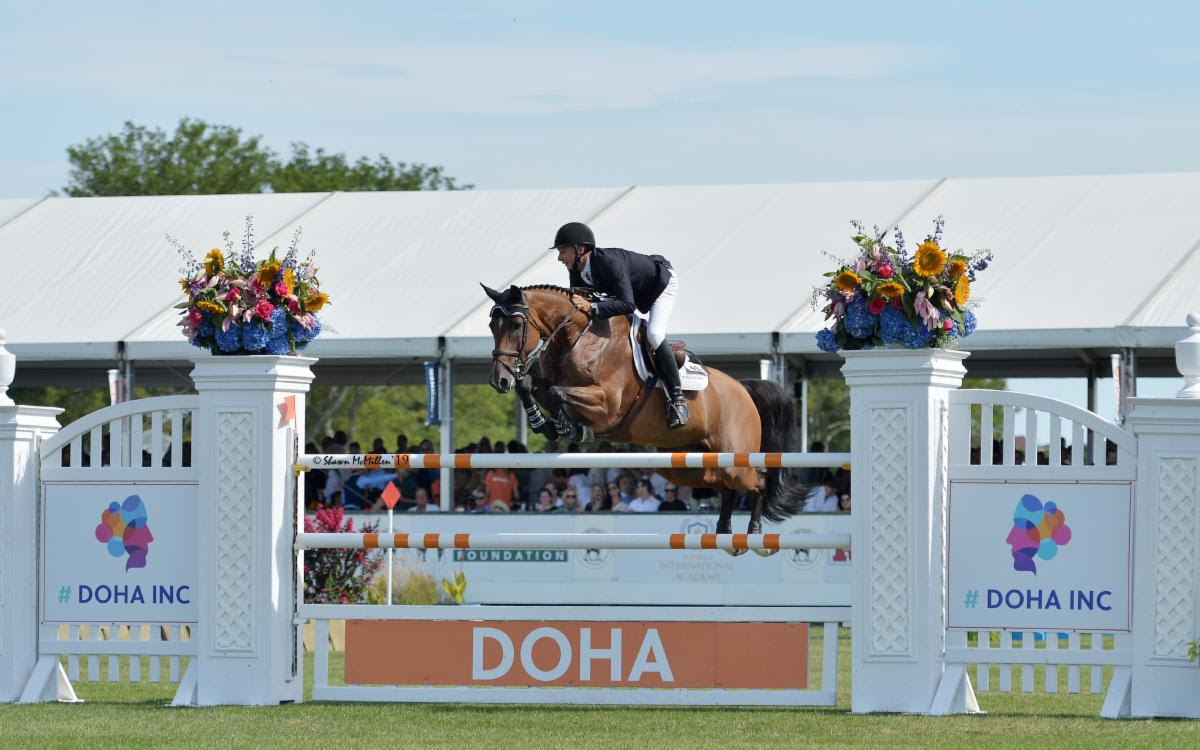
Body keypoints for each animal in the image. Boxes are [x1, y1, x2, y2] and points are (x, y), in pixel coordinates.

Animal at [477, 283, 806, 552]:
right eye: (492, 324)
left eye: (515, 324)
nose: (498, 380)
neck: (578, 339)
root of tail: (744, 388)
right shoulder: (548, 382)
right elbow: (531, 386)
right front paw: (544, 424)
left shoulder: (608, 403)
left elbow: (559, 394)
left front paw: (570, 427)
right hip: (686, 464)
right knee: (723, 485)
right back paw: (725, 533)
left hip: (734, 456)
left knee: (757, 480)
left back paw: (754, 531)